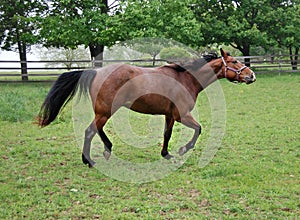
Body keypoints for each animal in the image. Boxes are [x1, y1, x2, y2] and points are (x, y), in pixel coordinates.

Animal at [37, 49, 255, 168]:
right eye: (234, 61)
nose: (251, 76)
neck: (186, 78)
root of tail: (96, 71)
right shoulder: (182, 115)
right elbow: (198, 129)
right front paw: (183, 149)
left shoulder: (170, 115)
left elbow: (167, 134)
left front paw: (166, 154)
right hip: (105, 111)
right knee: (90, 131)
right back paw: (90, 160)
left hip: (105, 111)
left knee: (96, 130)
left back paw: (106, 149)